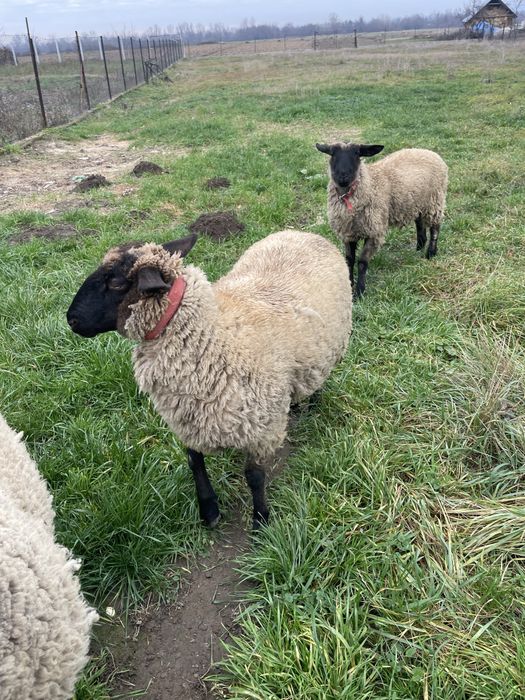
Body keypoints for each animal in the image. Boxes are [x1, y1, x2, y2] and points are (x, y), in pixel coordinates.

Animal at [67, 230, 353, 530]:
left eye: (116, 282)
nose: (70, 319)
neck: (214, 337)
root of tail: (301, 232)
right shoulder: (189, 416)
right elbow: (195, 463)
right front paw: (209, 510)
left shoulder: (262, 426)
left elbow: (254, 476)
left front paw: (261, 519)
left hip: (328, 349)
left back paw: (311, 405)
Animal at [316, 142, 448, 298]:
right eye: (332, 154)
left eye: (357, 154)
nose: (343, 176)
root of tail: (429, 152)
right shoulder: (348, 233)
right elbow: (349, 260)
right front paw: (350, 285)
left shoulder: (374, 232)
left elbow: (362, 262)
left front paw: (360, 292)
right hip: (417, 203)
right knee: (420, 224)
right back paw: (419, 248)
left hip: (435, 200)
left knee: (435, 227)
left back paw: (431, 253)